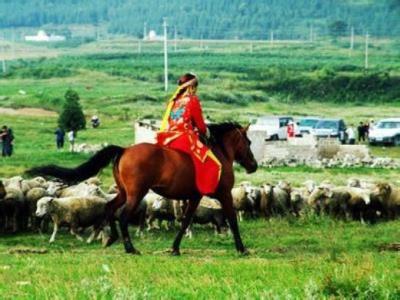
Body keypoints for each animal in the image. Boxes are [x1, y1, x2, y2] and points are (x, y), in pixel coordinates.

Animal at [28, 122, 260, 255]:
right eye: (248, 142)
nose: (253, 165)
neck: (219, 154)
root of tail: (124, 150)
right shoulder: (223, 194)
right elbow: (231, 219)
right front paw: (242, 248)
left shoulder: (194, 197)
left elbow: (186, 221)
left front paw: (175, 248)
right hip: (136, 193)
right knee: (122, 216)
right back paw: (130, 248)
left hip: (123, 192)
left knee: (110, 209)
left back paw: (111, 239)